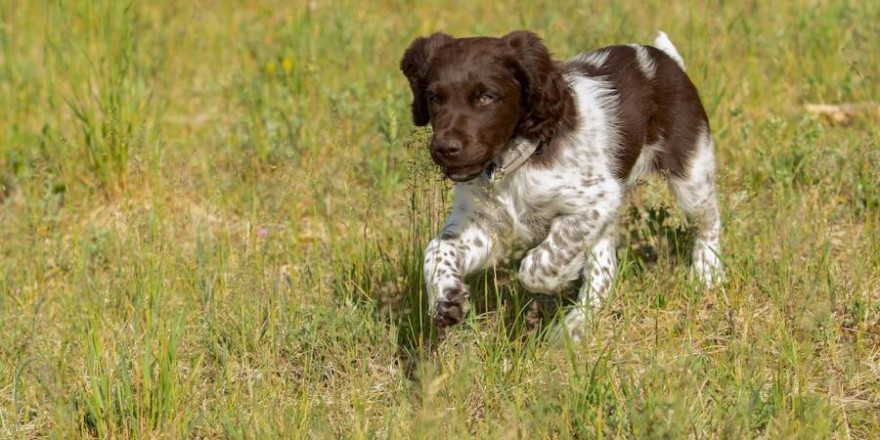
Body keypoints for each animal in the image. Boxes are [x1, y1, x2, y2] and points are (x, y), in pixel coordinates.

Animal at [400, 31, 720, 340]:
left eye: (486, 97)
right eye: (434, 98)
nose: (445, 148)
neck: (511, 161)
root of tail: (663, 58)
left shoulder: (596, 199)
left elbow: (541, 262)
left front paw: (554, 281)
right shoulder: (480, 222)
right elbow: (436, 250)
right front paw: (446, 298)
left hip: (691, 171)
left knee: (709, 222)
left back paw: (707, 274)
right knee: (604, 271)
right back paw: (574, 329)